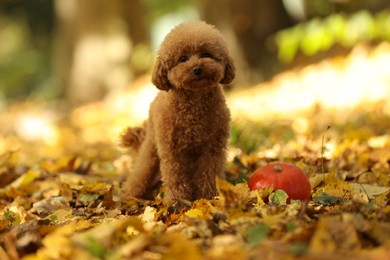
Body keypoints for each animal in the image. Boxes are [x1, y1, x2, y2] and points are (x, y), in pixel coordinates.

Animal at [120, 20, 235, 203]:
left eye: (206, 54)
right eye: (183, 58)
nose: (197, 69)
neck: (195, 104)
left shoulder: (212, 148)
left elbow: (209, 172)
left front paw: (208, 197)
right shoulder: (172, 151)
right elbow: (175, 177)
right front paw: (177, 201)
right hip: (151, 148)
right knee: (141, 171)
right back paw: (130, 195)